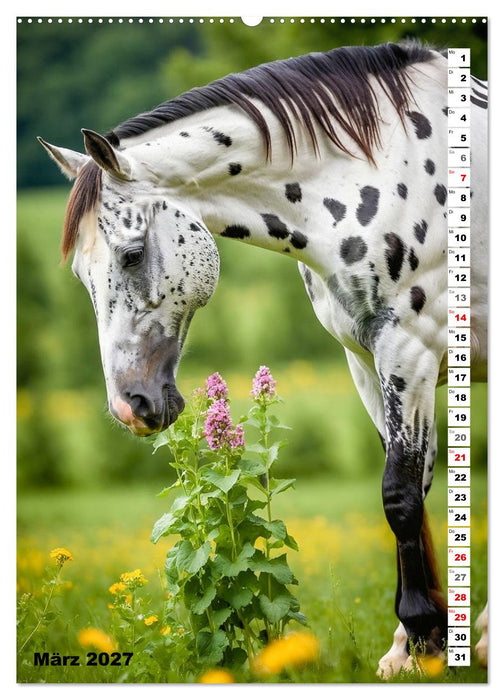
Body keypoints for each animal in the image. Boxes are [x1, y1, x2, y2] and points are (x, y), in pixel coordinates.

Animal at [38, 41, 488, 677]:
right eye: (81, 273)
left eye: (131, 255)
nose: (130, 406)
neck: (382, 170)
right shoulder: (367, 361)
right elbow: (417, 488)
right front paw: (414, 647)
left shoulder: (411, 351)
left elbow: (399, 496)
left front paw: (425, 636)